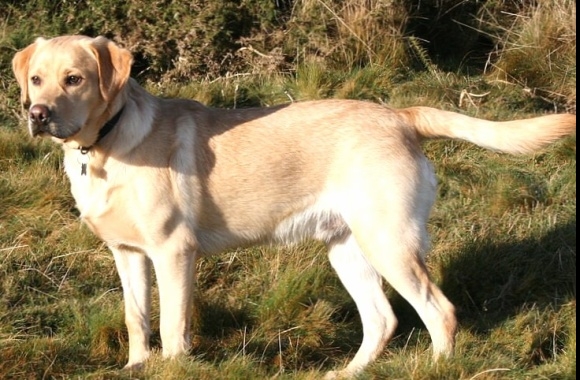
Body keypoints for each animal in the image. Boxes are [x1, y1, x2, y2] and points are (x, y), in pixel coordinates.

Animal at [12, 35, 576, 378]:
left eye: (75, 79)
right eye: (36, 79)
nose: (36, 114)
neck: (102, 147)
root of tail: (400, 115)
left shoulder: (174, 252)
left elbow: (172, 327)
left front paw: (169, 366)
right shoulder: (127, 254)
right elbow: (136, 319)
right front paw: (135, 367)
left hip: (389, 242)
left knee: (440, 312)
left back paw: (436, 366)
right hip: (347, 249)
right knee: (382, 320)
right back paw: (349, 372)